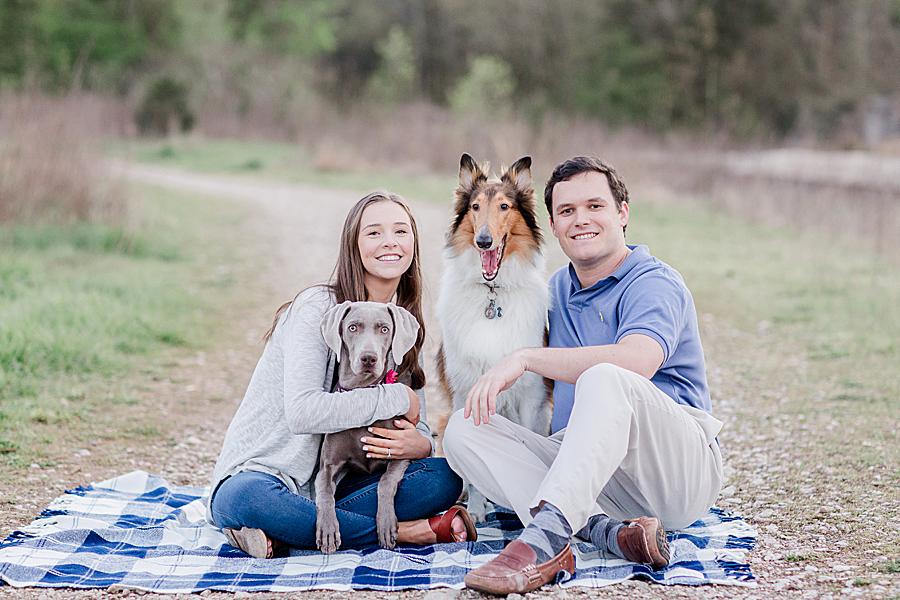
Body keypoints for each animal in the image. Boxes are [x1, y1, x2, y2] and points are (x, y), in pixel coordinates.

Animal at [314, 300, 420, 552]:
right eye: (353, 327)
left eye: (384, 329)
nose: (368, 358)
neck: (361, 392)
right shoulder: (327, 466)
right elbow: (324, 492)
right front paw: (328, 530)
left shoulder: (402, 452)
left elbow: (385, 481)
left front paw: (386, 524)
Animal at [438, 154, 552, 520]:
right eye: (475, 207)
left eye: (504, 206)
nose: (484, 241)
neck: (492, 292)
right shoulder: (465, 392)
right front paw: (474, 509)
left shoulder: (531, 395)